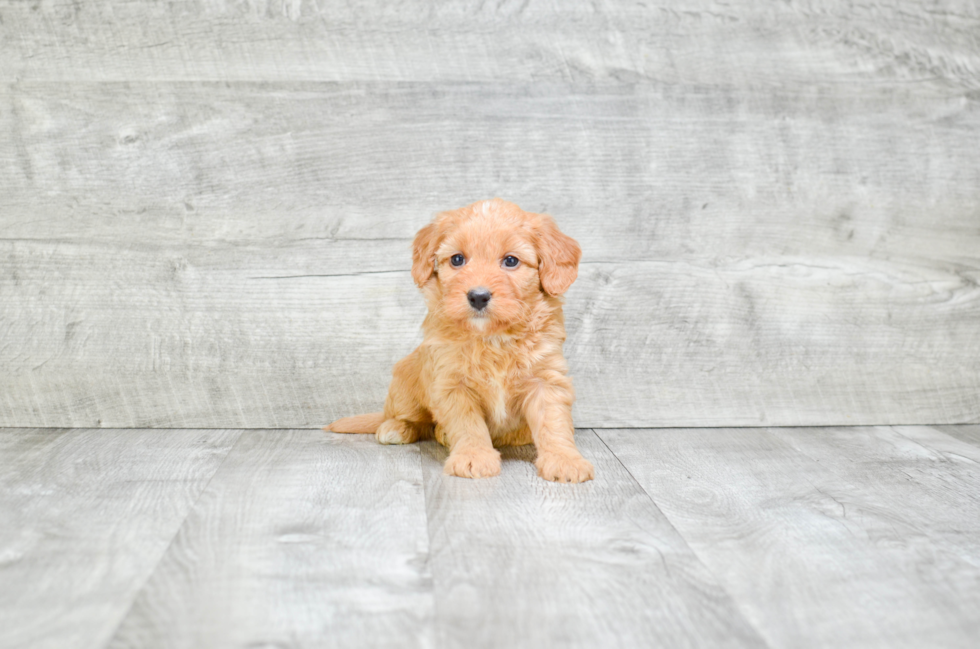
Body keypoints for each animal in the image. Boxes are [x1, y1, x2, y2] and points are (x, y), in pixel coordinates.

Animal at [326, 197, 592, 480]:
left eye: (511, 261)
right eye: (457, 259)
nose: (478, 296)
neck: (493, 338)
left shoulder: (547, 380)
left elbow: (554, 423)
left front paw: (565, 460)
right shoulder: (452, 383)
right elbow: (468, 425)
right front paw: (473, 457)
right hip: (405, 381)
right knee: (413, 420)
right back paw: (398, 428)